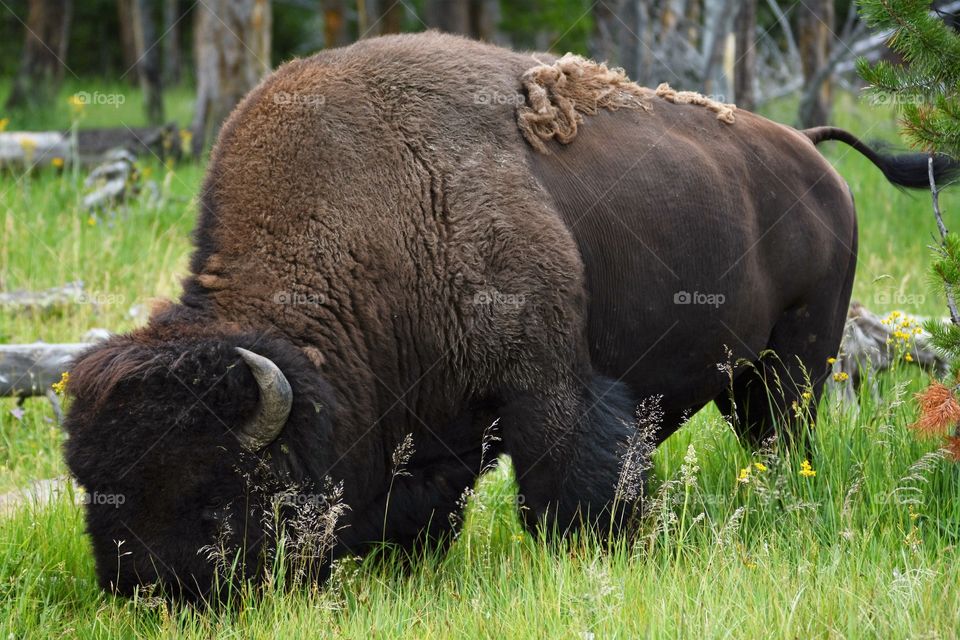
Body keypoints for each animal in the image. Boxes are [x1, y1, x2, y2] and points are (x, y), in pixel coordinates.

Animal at [65, 32, 952, 596]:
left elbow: (568, 485)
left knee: (784, 438)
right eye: (91, 484)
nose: (140, 587)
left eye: (213, 489)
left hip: (795, 362)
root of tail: (812, 154)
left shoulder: (548, 384)